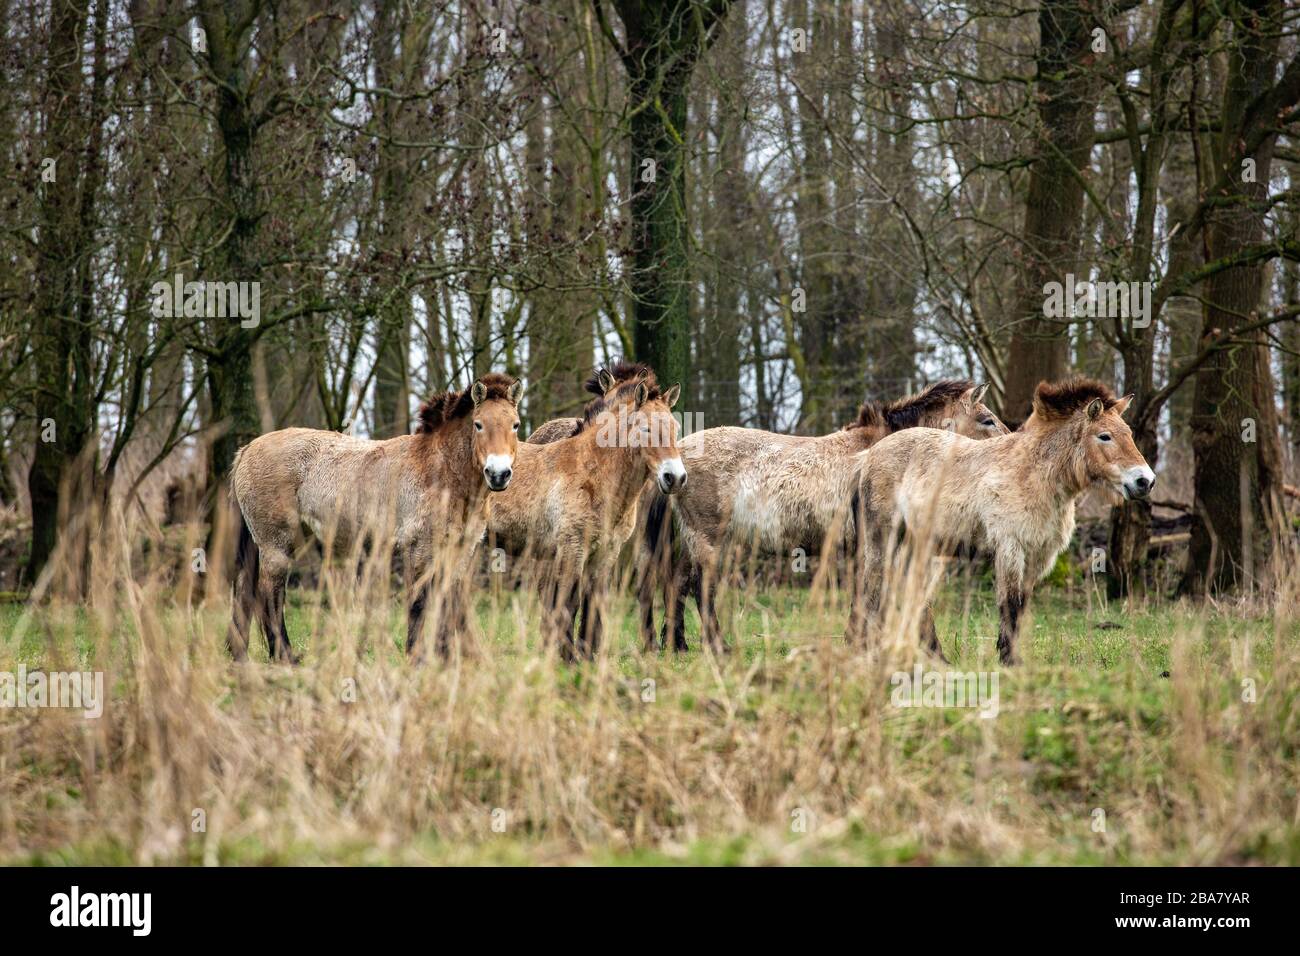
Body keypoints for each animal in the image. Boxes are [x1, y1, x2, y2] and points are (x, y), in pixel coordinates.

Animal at [227, 369, 522, 660]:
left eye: (515, 425)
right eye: (478, 424)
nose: (499, 474)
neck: (442, 470)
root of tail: (246, 450)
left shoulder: (459, 552)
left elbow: (451, 604)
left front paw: (448, 658)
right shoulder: (419, 550)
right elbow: (419, 603)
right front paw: (416, 657)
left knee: (244, 590)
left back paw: (240, 654)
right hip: (276, 544)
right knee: (269, 593)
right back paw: (284, 656)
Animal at [488, 361, 686, 660]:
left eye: (676, 428)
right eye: (646, 429)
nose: (674, 477)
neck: (593, 471)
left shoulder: (607, 553)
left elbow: (595, 603)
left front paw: (587, 655)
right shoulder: (572, 549)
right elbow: (569, 602)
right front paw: (567, 657)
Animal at [637, 377, 1003, 655]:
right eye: (987, 420)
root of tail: (677, 460)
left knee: (677, 583)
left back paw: (678, 646)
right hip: (707, 538)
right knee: (702, 588)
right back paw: (717, 646)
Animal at [847, 374, 1154, 665]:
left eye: (1128, 433)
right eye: (1104, 436)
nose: (1145, 481)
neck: (1032, 472)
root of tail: (869, 455)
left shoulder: (1037, 557)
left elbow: (1023, 606)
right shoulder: (1010, 548)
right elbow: (1010, 604)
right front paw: (1010, 662)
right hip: (882, 538)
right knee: (871, 588)